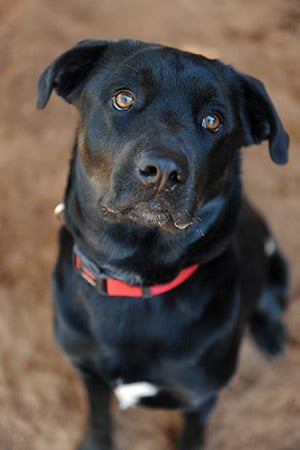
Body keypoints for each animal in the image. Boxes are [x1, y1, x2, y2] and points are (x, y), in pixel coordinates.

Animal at [37, 39, 288, 450]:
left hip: (279, 268)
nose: (163, 172)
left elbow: (191, 437)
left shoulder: (199, 400)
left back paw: (271, 337)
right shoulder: (87, 371)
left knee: (270, 306)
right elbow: (100, 418)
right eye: (123, 99)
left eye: (213, 121)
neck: (135, 276)